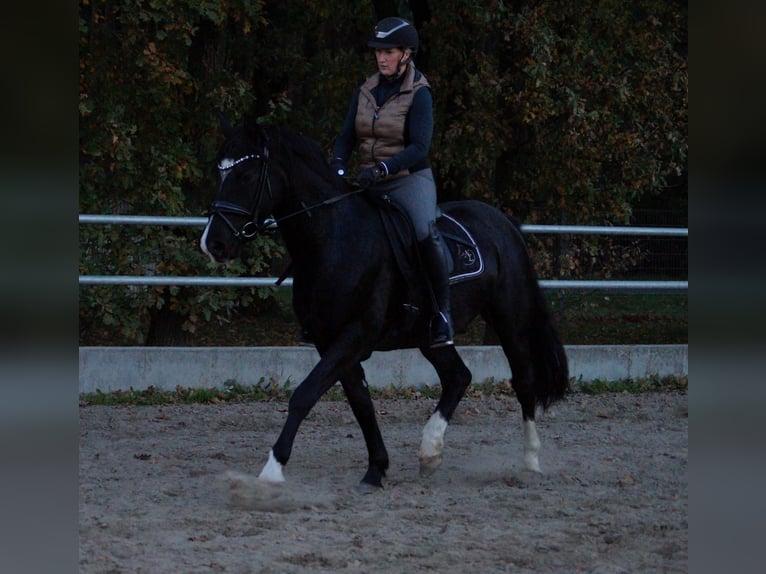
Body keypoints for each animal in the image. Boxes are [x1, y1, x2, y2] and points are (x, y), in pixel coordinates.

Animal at [200, 118, 568, 496]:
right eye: (220, 173)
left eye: (246, 175)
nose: (214, 244)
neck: (334, 238)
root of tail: (504, 223)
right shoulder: (330, 341)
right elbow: (361, 404)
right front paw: (376, 469)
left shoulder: (355, 334)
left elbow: (304, 395)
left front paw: (272, 469)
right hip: (429, 335)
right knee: (458, 377)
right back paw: (430, 452)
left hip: (510, 318)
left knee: (522, 380)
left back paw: (530, 460)